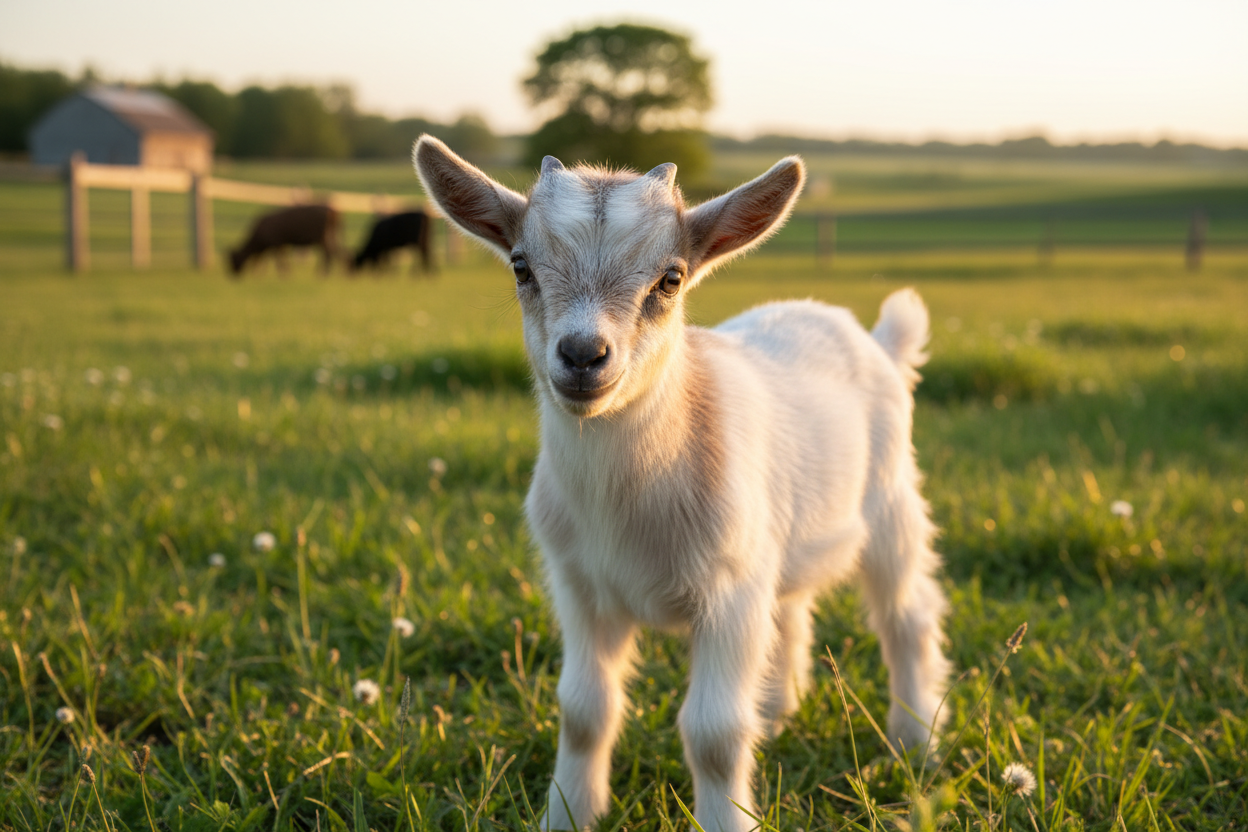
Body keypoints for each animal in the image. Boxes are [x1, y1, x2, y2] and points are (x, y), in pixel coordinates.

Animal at [414, 135, 951, 832]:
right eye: (521, 267)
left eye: (670, 279)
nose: (583, 355)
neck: (624, 508)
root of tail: (877, 340)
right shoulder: (581, 587)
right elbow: (584, 711)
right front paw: (569, 814)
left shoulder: (727, 593)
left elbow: (714, 733)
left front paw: (727, 816)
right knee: (790, 610)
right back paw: (775, 713)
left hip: (890, 502)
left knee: (905, 615)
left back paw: (915, 741)